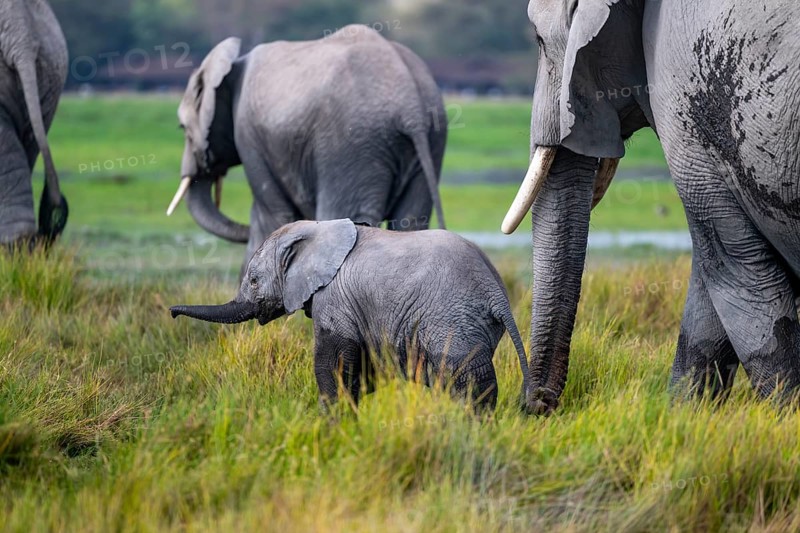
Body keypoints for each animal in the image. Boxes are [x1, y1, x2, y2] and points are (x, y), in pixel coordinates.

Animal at [166, 25, 448, 270]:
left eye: (182, 127)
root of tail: (410, 104)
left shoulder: (249, 135)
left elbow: (269, 214)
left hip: (350, 144)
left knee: (342, 213)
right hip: (430, 139)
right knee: (412, 218)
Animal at [170, 219, 529, 411]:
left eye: (255, 280)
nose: (172, 313)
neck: (316, 229)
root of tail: (497, 294)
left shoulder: (335, 299)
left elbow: (331, 362)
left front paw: (334, 424)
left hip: (451, 320)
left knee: (466, 377)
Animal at [502, 0, 800, 414]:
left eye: (539, 41)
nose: (539, 404)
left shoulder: (682, 106)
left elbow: (738, 271)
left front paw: (784, 415)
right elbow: (710, 285)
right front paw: (686, 415)